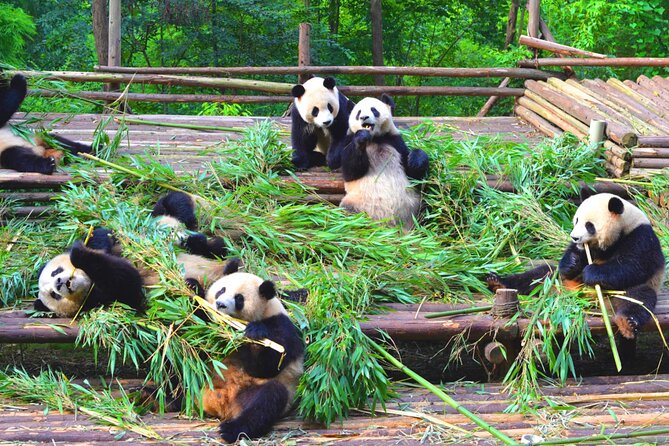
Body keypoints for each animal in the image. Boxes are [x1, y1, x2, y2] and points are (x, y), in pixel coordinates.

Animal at [196, 263, 305, 443]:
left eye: (239, 299)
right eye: (221, 290)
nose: (220, 304)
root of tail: (222, 406)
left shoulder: (281, 326)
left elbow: (266, 366)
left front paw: (254, 333)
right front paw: (191, 287)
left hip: (260, 390)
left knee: (267, 401)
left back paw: (231, 430)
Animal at [338, 94, 429, 230]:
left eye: (373, 110)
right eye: (358, 113)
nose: (364, 117)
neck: (374, 139)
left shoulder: (394, 141)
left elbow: (414, 175)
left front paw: (415, 160)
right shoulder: (348, 141)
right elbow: (350, 172)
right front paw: (361, 136)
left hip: (414, 203)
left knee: (426, 209)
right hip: (356, 203)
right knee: (347, 214)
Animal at [487, 193, 666, 339]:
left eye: (589, 225)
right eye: (576, 220)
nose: (574, 237)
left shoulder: (640, 237)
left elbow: (632, 266)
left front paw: (591, 273)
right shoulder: (584, 249)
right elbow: (571, 255)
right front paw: (572, 262)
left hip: (624, 292)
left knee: (638, 298)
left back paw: (627, 323)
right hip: (556, 281)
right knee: (538, 275)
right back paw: (497, 282)